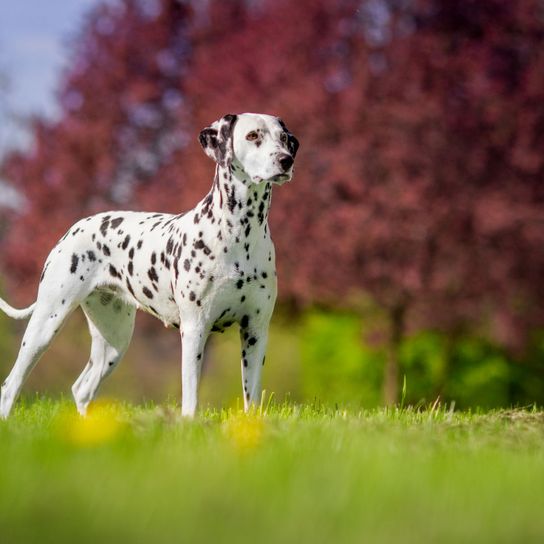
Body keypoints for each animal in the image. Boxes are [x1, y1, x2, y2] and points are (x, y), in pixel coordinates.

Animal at [0, 112, 298, 418]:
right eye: (253, 136)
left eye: (283, 138)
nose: (286, 159)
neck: (240, 233)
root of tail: (75, 228)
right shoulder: (194, 329)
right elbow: (190, 400)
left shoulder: (255, 331)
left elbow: (252, 399)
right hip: (46, 324)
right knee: (11, 384)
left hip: (114, 340)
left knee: (81, 389)